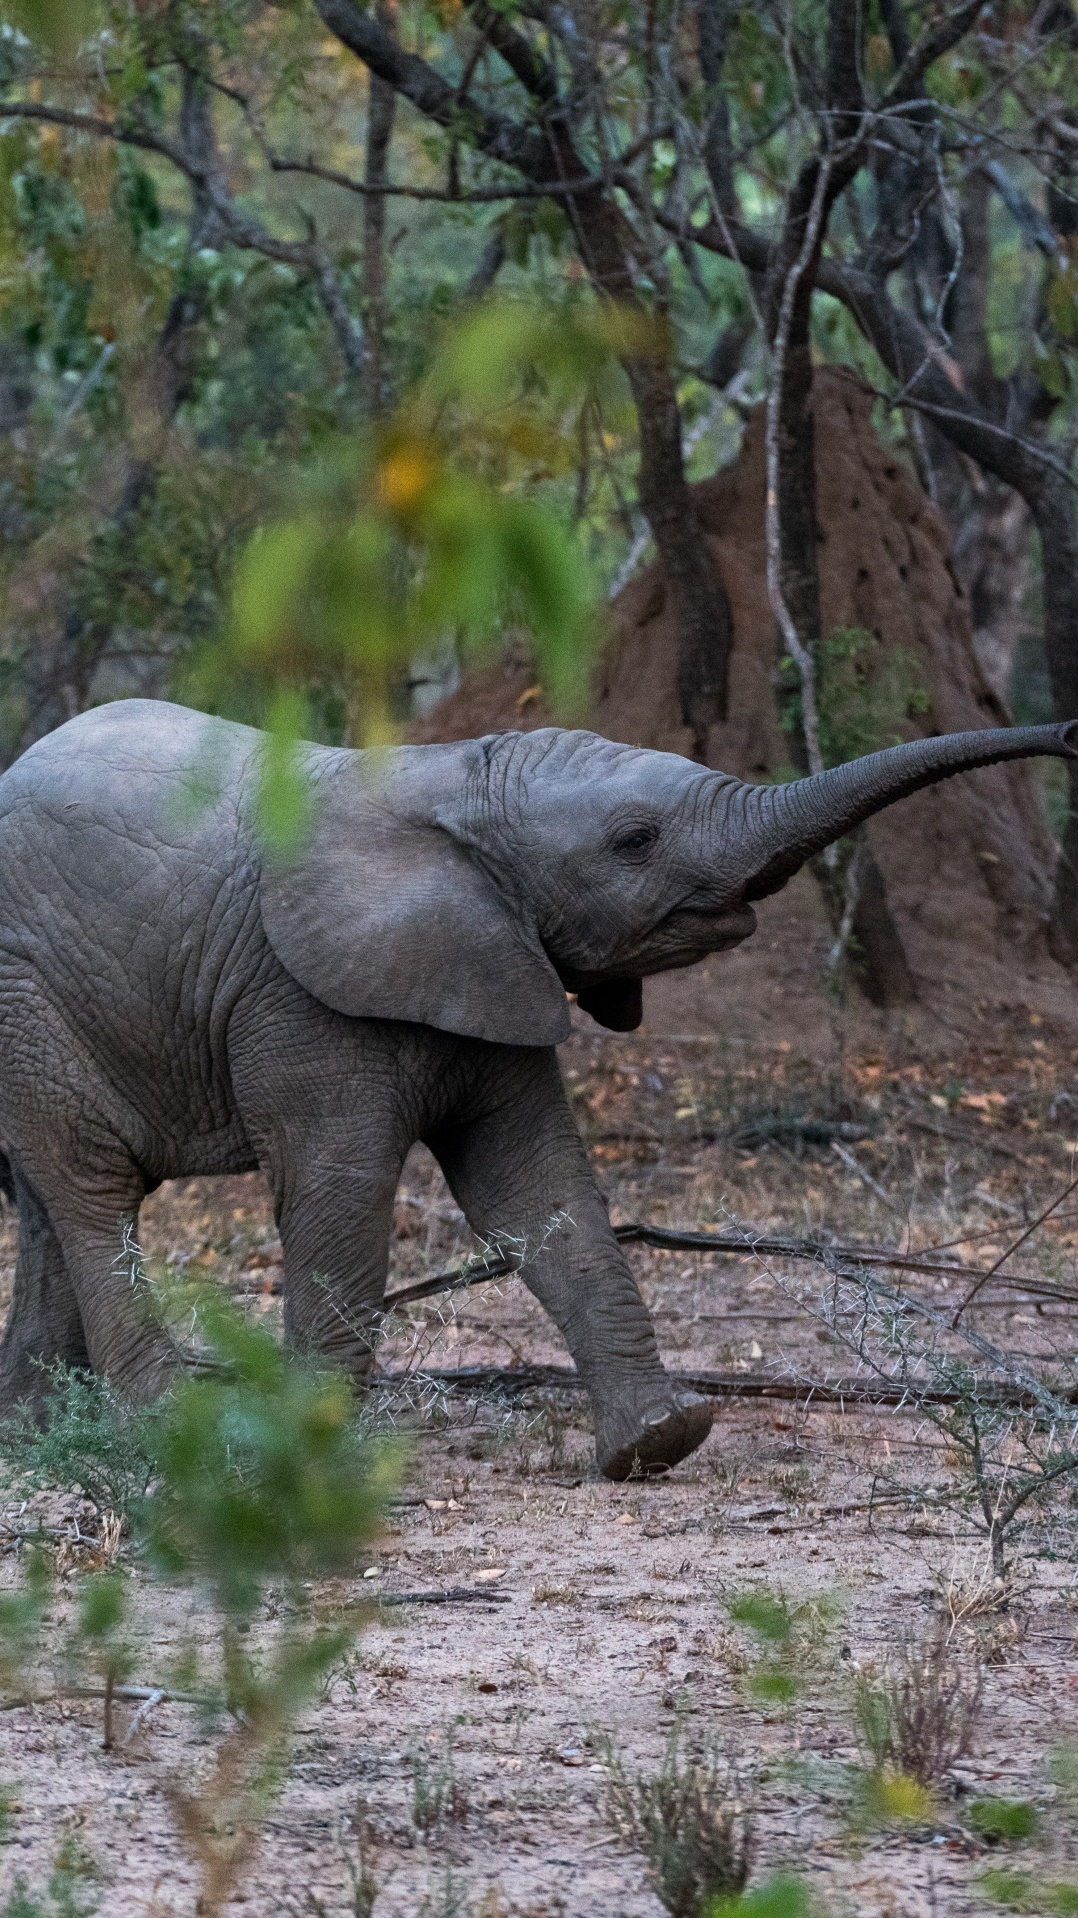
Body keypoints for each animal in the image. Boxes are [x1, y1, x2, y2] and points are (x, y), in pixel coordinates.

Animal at [0, 709, 1066, 1480]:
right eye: (635, 840)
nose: (1067, 734)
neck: (454, 781)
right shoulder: (298, 995)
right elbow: (340, 1195)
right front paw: (307, 1464)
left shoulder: (496, 961)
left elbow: (535, 1186)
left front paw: (657, 1444)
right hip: (28, 997)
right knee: (91, 1189)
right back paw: (160, 1436)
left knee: (48, 1204)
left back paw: (36, 1437)